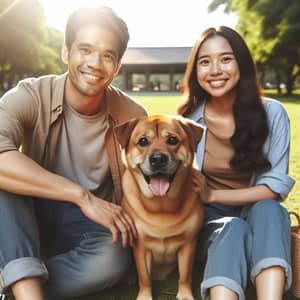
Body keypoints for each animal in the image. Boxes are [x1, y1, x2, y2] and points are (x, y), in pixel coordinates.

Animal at [116, 115, 205, 300]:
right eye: (143, 141)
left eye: (172, 140)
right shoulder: (140, 247)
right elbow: (144, 277)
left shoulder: (188, 243)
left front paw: (185, 294)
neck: (161, 207)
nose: (157, 159)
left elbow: (185, 275)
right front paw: (144, 296)